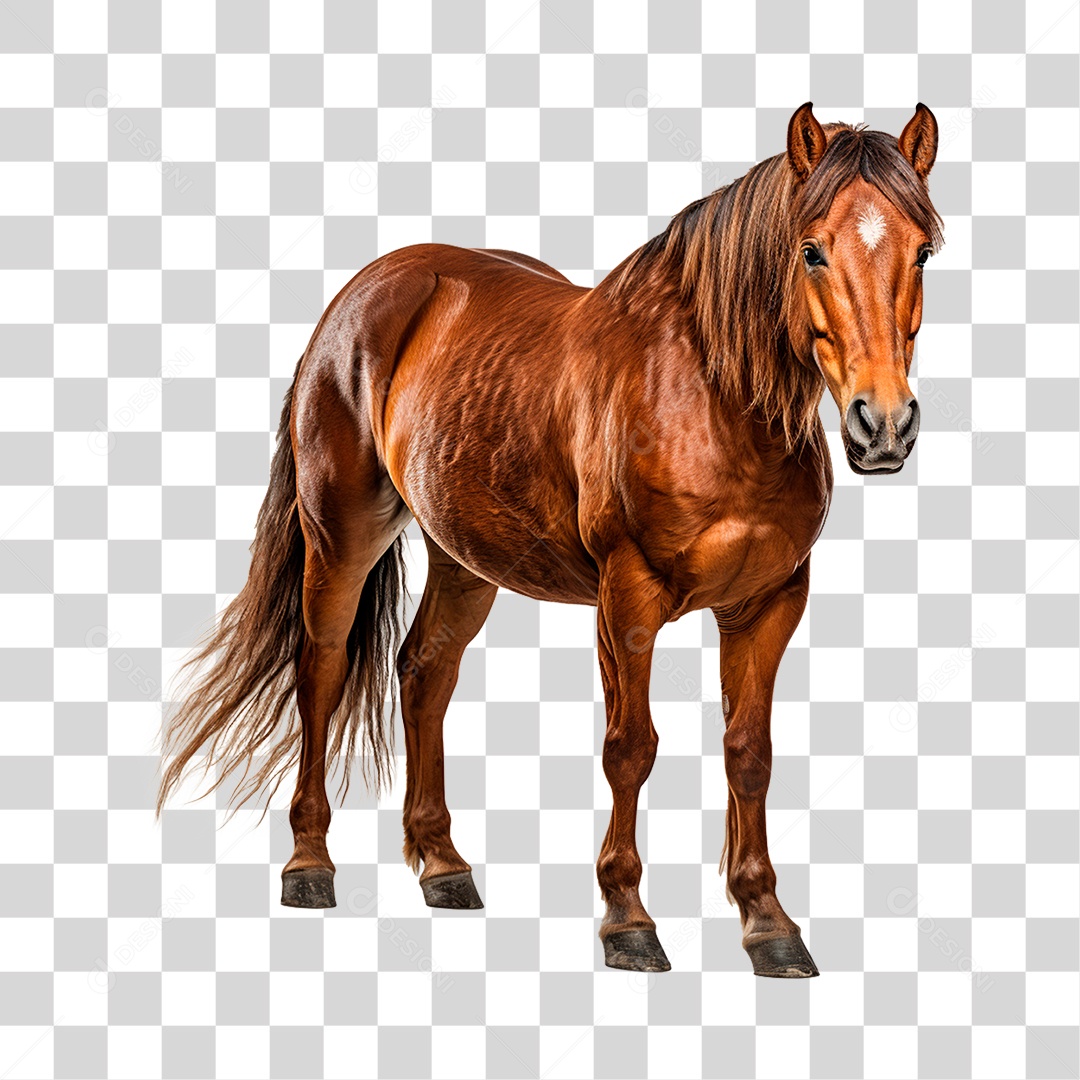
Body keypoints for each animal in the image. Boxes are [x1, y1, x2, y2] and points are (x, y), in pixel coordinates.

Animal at [158, 102, 942, 977]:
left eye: (922, 248)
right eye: (811, 249)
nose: (884, 426)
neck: (711, 398)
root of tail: (362, 295)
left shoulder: (768, 602)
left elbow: (750, 753)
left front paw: (768, 924)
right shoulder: (627, 598)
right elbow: (630, 747)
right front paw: (628, 921)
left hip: (466, 557)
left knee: (424, 672)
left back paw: (444, 866)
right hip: (339, 537)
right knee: (320, 671)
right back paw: (309, 864)